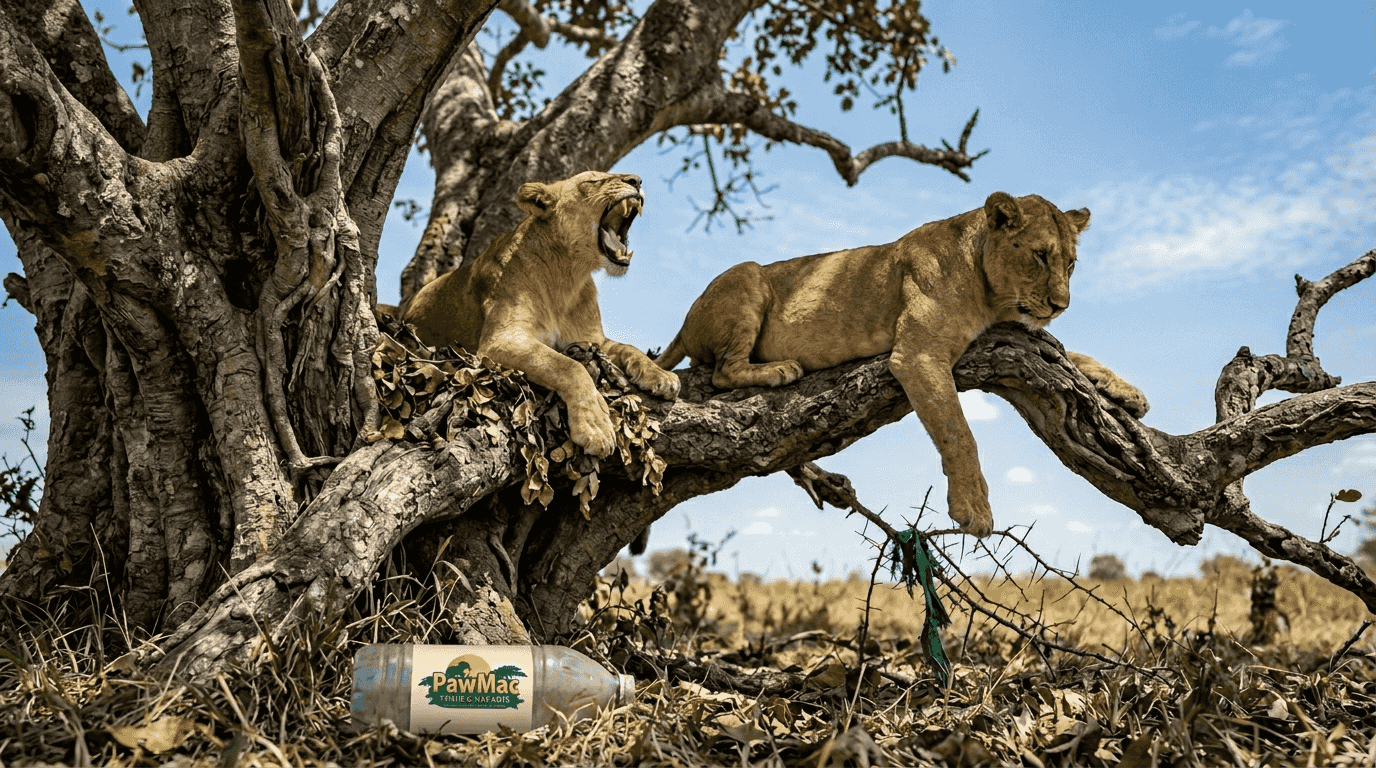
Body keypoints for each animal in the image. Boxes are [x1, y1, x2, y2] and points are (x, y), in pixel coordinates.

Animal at [401, 170, 680, 457]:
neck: (568, 275)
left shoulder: (593, 340)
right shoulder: (500, 340)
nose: (637, 180)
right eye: (593, 181)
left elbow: (629, 348)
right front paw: (595, 427)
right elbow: (570, 366)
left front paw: (661, 376)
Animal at [655, 192, 1148, 537]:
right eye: (1040, 255)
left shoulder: (1017, 330)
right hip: (748, 274)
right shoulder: (918, 353)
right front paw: (974, 510)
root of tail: (685, 320)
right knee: (722, 369)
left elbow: (1075, 354)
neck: (990, 291)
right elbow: (959, 432)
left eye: (1071, 263)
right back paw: (778, 369)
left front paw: (1129, 392)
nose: (1062, 305)